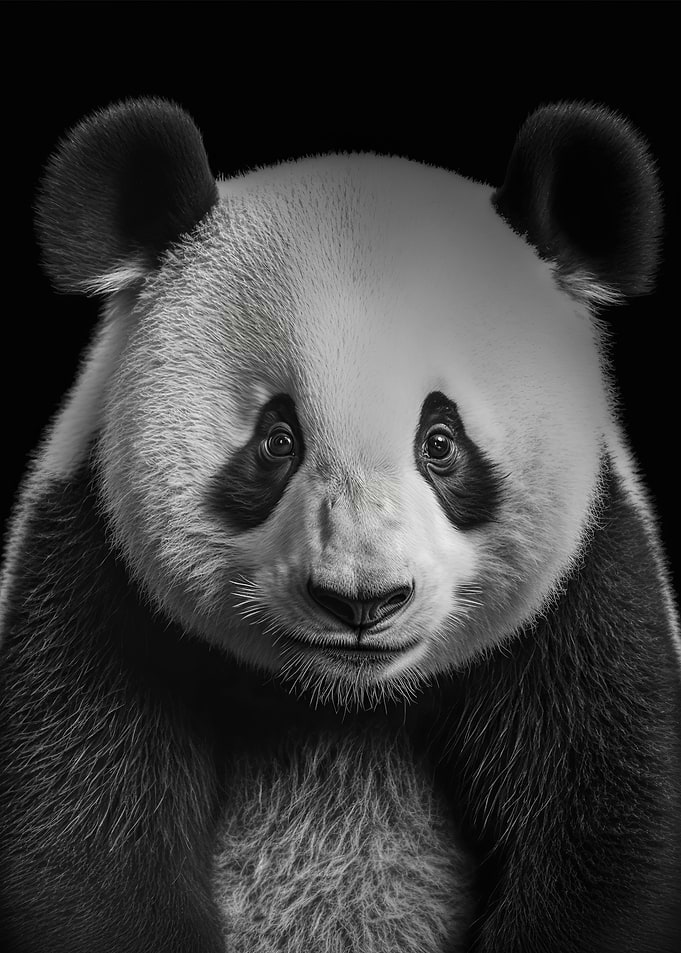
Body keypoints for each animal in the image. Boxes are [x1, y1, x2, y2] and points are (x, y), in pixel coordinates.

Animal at [0, 97, 679, 953]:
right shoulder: (91, 588)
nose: (363, 600)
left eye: (440, 442)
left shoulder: (589, 602)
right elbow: (81, 840)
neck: (339, 703)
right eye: (277, 440)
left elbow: (608, 835)